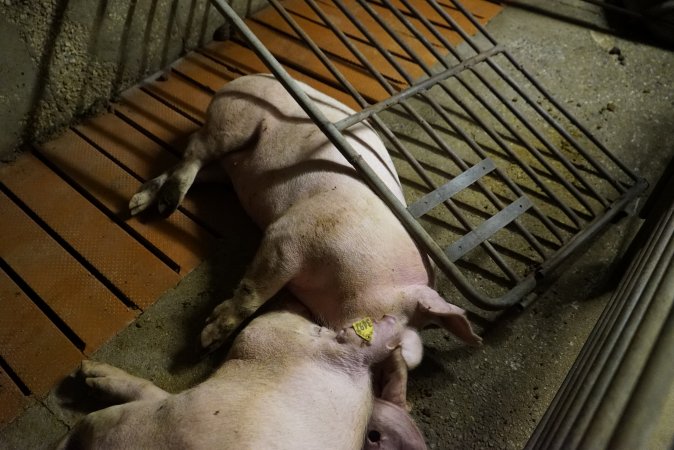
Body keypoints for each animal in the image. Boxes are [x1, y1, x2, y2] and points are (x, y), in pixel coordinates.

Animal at [129, 75, 480, 364]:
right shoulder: (290, 234)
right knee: (195, 150)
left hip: (230, 166)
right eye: (389, 326)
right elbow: (253, 292)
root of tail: (240, 79)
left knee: (195, 166)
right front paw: (206, 343)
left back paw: (139, 205)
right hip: (232, 122)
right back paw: (165, 206)